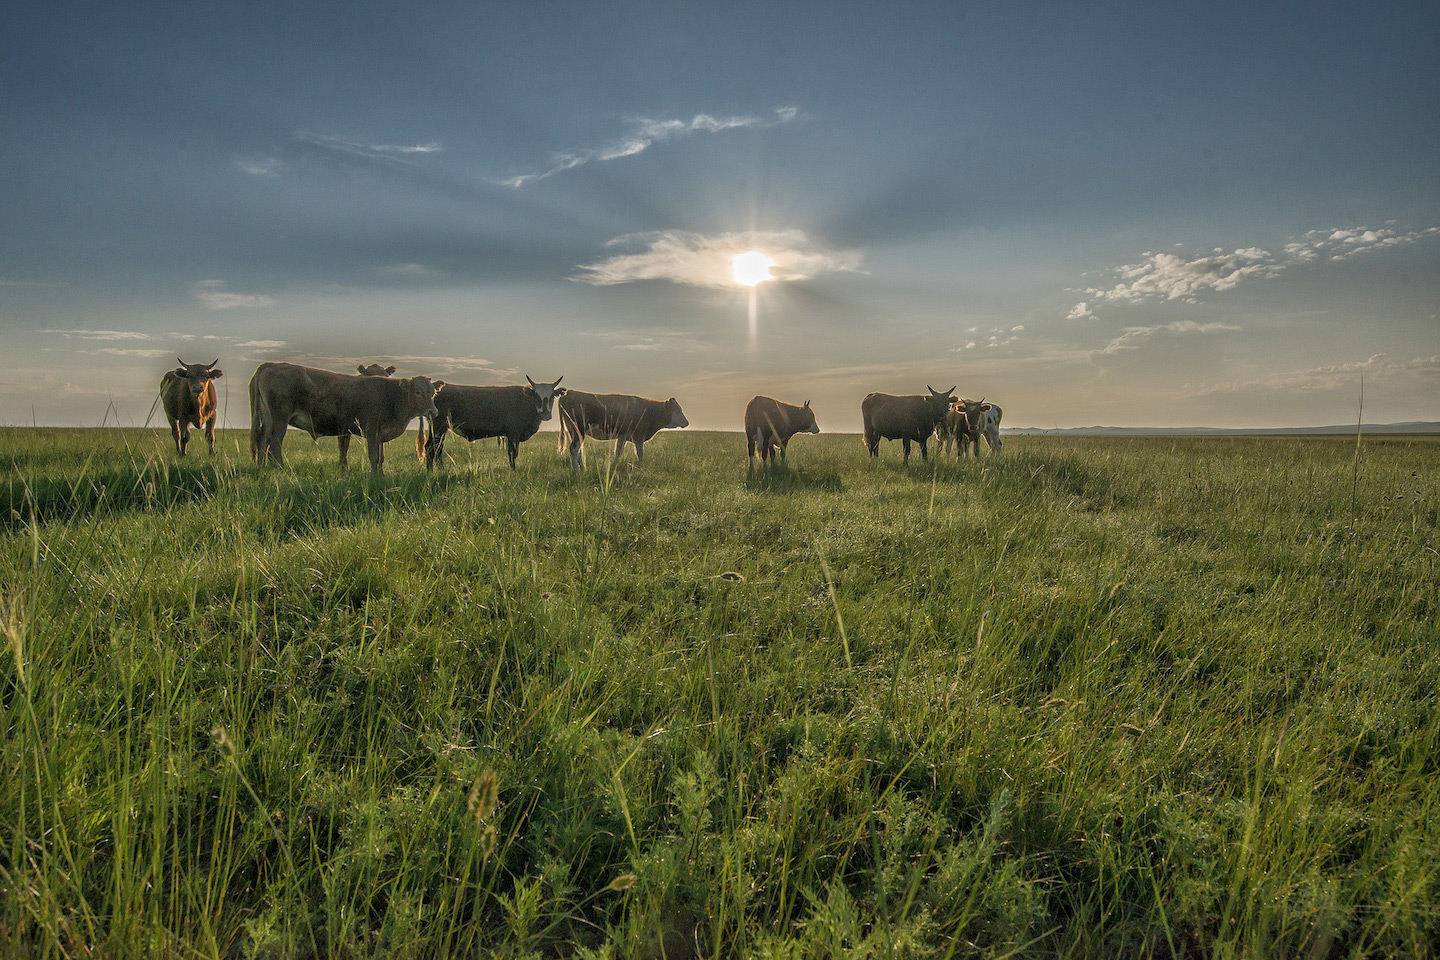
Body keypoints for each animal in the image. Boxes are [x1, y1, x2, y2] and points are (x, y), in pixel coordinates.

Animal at [250, 362, 443, 474]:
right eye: (418, 392)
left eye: (433, 393)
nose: (433, 411)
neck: (391, 395)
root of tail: (271, 364)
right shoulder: (371, 430)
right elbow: (373, 455)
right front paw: (373, 476)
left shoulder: (379, 433)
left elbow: (380, 456)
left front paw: (381, 475)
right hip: (280, 417)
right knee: (275, 442)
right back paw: (281, 469)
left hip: (267, 416)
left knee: (263, 440)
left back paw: (261, 468)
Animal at [420, 374, 564, 469]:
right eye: (536, 395)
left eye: (552, 396)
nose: (545, 414)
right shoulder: (513, 434)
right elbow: (512, 454)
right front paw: (513, 471)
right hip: (438, 426)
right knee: (430, 447)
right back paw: (430, 471)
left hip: (440, 428)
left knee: (438, 448)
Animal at [555, 385, 685, 469]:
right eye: (678, 410)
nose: (687, 422)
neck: (648, 410)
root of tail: (569, 392)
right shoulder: (639, 435)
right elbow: (640, 453)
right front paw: (641, 468)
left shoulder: (623, 436)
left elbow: (618, 453)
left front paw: (614, 467)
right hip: (578, 430)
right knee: (574, 449)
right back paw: (576, 472)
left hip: (574, 431)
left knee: (579, 451)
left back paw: (583, 470)